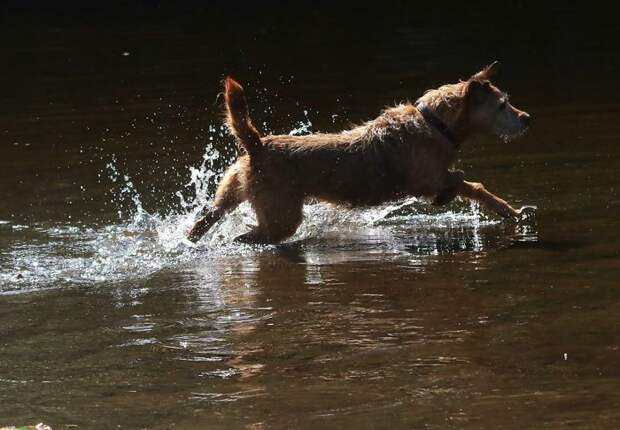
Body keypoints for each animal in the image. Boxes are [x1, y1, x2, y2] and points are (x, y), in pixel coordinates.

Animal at [186, 62, 532, 245]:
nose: (527, 118)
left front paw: (507, 210)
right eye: (502, 105)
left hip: (230, 192)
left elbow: (470, 186)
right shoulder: (425, 180)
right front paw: (503, 208)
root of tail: (256, 144)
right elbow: (466, 182)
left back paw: (191, 239)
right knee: (248, 237)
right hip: (282, 217)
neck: (436, 124)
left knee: (208, 217)